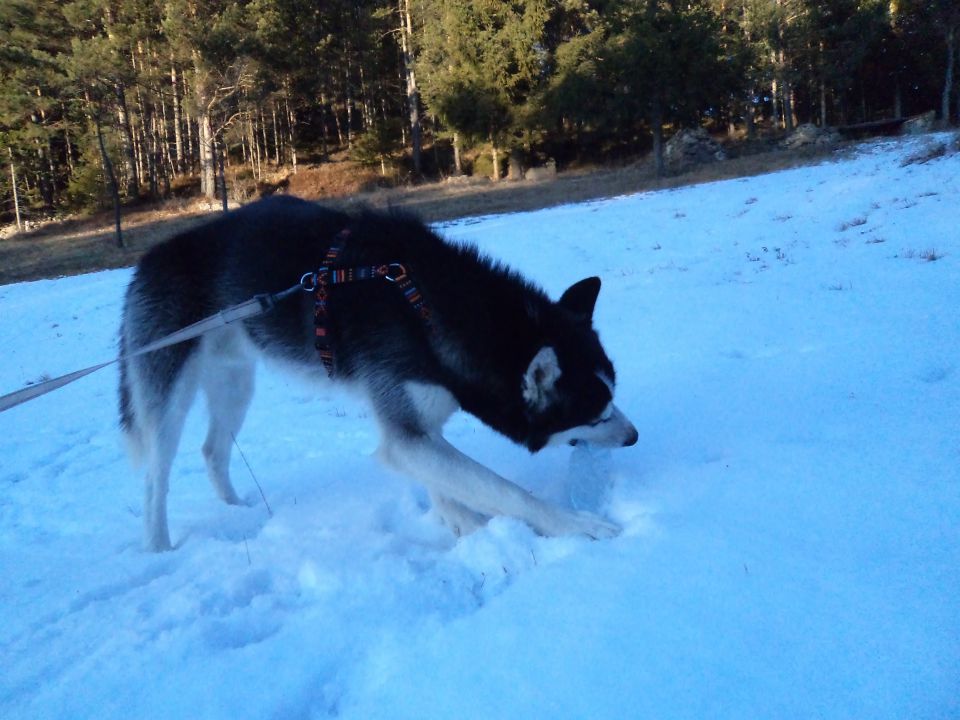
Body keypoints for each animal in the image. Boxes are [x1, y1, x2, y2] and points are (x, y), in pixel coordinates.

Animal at [120, 197, 636, 552]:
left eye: (613, 399)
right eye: (595, 414)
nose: (633, 437)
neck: (424, 307)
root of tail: (147, 259)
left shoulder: (419, 423)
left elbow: (449, 485)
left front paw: (466, 527)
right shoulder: (406, 430)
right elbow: (504, 490)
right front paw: (575, 525)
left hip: (235, 382)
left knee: (212, 450)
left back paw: (238, 511)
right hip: (170, 395)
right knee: (155, 474)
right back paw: (159, 546)